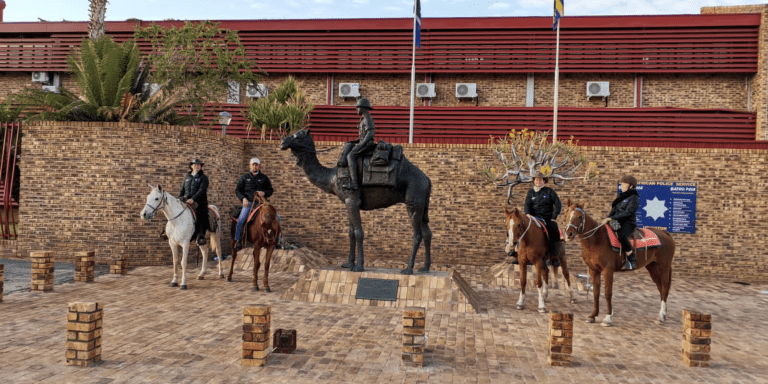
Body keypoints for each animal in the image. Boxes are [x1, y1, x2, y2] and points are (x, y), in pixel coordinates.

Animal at [280, 130, 432, 274]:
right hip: (421, 203)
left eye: (298, 136)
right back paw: (424, 268)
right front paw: (348, 264)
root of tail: (427, 179)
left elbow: (359, 233)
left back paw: (408, 269)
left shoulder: (352, 200)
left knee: (417, 234)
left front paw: (359, 266)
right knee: (427, 233)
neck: (332, 177)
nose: (283, 142)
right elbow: (351, 233)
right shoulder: (347, 202)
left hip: (413, 199)